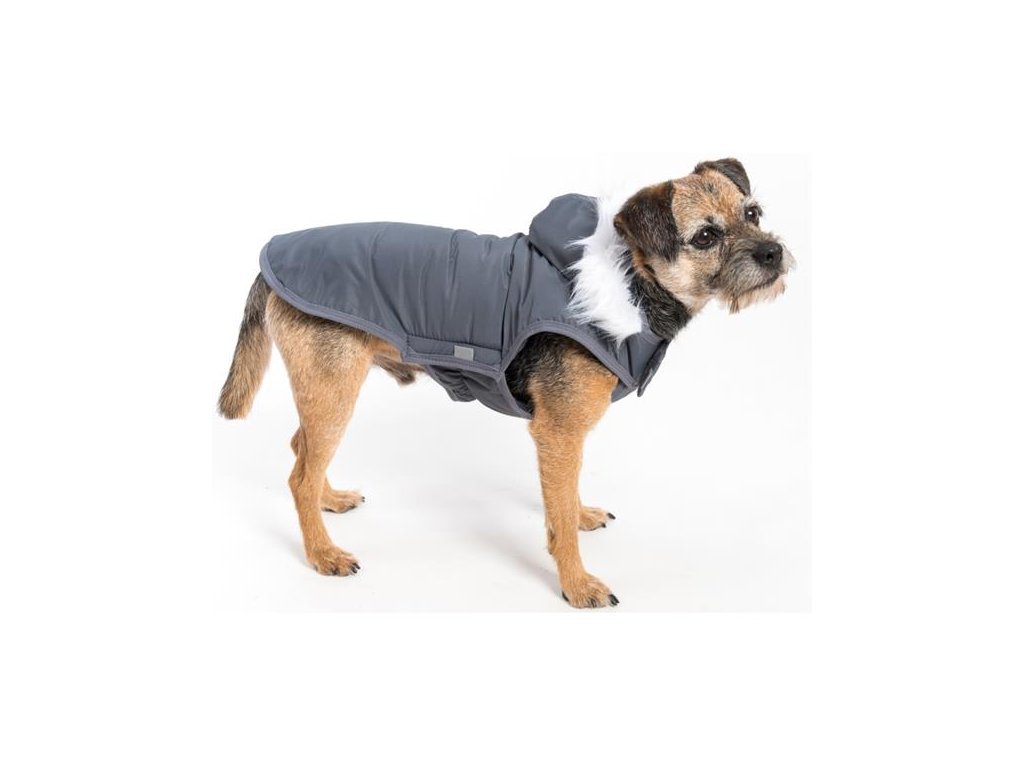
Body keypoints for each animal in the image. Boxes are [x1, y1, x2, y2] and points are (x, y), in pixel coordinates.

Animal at [217, 158, 793, 608]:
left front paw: (579, 514)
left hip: (326, 392)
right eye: (705, 236)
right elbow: (556, 517)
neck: (629, 280)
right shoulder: (558, 432)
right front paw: (576, 583)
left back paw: (329, 501)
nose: (772, 253)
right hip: (334, 391)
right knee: (299, 474)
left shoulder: (566, 437)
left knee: (303, 452)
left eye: (753, 213)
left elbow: (566, 495)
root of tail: (270, 264)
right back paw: (322, 552)